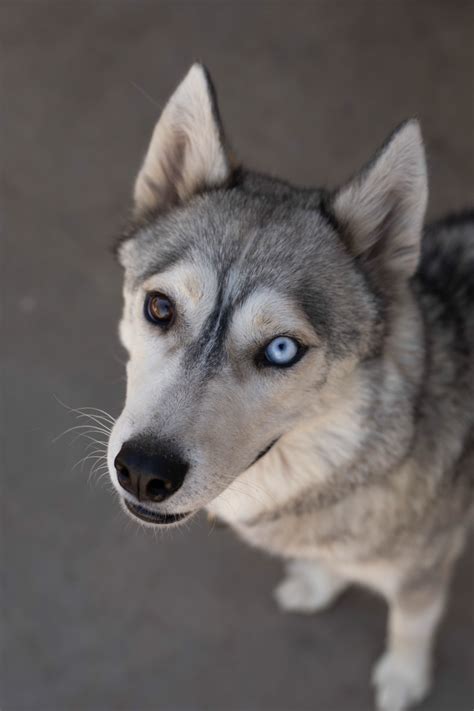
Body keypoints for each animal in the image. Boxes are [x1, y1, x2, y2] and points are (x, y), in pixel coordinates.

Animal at [105, 67, 472, 711]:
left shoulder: (424, 569)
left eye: (281, 350)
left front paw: (404, 679)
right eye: (160, 308)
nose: (144, 472)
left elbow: (411, 622)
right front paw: (322, 580)